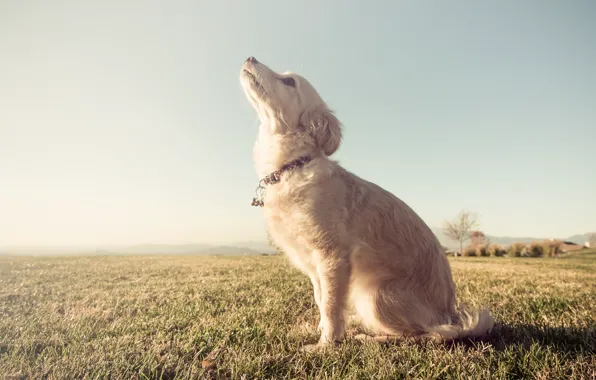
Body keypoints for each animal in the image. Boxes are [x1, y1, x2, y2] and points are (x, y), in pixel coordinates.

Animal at [237, 55, 494, 350]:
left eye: (289, 81)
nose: (250, 57)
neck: (292, 167)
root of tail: (450, 315)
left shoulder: (332, 256)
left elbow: (331, 305)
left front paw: (326, 345)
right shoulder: (314, 267)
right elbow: (321, 300)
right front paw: (319, 330)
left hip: (375, 296)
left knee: (425, 334)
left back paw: (369, 337)